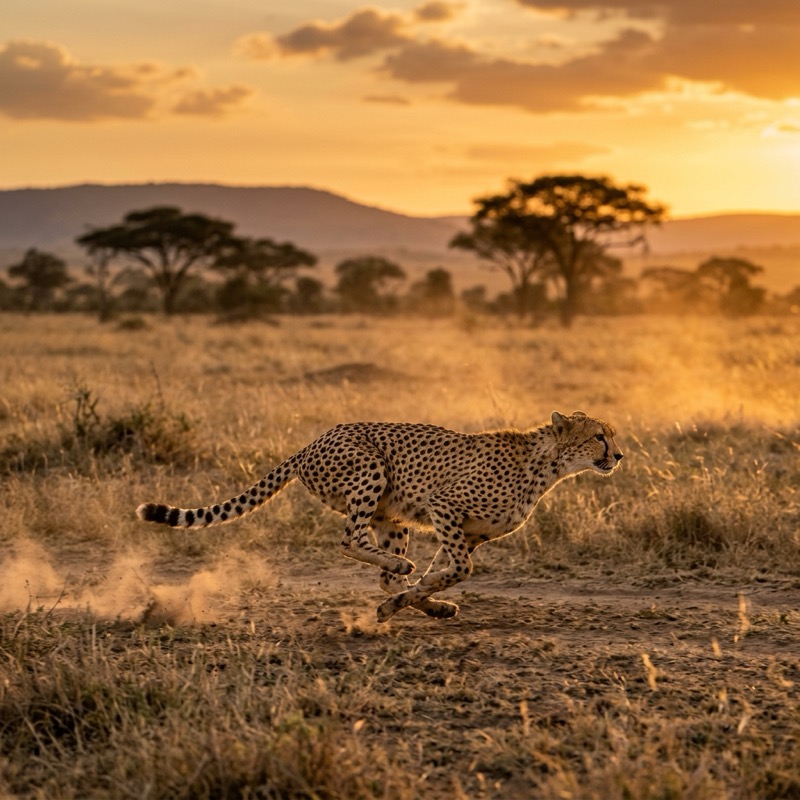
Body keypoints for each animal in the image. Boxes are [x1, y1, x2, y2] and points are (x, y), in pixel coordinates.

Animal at [136, 410, 622, 622]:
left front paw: (420, 601)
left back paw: (414, 596)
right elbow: (459, 569)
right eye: (599, 436)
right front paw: (415, 596)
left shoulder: (467, 532)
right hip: (369, 471)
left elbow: (442, 573)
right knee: (350, 541)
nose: (619, 455)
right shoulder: (444, 505)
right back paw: (399, 568)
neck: (549, 466)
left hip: (392, 517)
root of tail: (310, 442)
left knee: (385, 571)